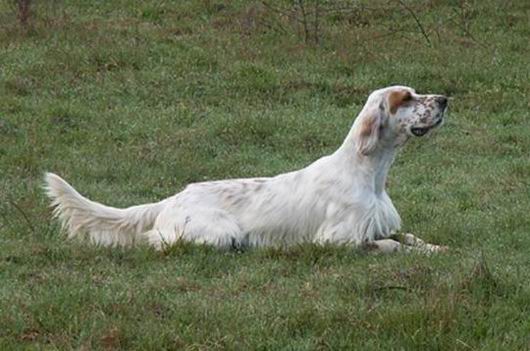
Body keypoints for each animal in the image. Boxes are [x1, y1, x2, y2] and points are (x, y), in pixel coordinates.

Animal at [47, 86, 448, 254]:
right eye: (406, 98)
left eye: (416, 92)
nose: (445, 99)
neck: (369, 173)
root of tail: (169, 200)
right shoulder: (338, 239)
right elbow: (390, 246)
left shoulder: (379, 224)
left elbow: (410, 237)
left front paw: (436, 247)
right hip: (219, 233)